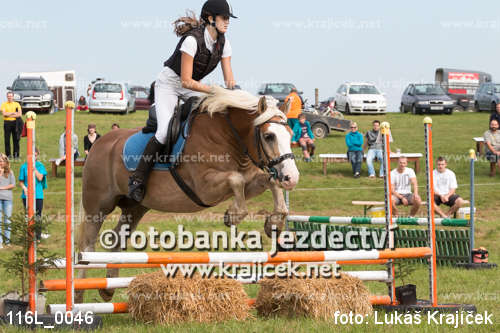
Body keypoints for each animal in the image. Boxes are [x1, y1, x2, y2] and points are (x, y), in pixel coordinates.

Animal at [76, 86, 298, 304]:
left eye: (289, 134)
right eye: (269, 136)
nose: (292, 177)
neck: (228, 135)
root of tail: (99, 144)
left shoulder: (250, 183)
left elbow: (269, 182)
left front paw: (274, 223)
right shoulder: (205, 188)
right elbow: (236, 179)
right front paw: (233, 215)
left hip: (135, 207)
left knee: (117, 237)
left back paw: (108, 289)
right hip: (98, 207)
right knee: (87, 246)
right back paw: (79, 295)